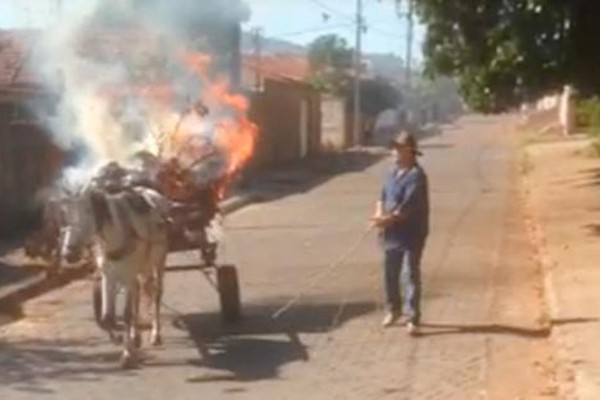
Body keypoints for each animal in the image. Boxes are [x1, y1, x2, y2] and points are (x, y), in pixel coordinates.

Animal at [62, 182, 169, 368]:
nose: (68, 253)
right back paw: (135, 336)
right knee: (140, 293)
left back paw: (155, 334)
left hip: (158, 260)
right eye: (66, 214)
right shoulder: (108, 276)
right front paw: (120, 339)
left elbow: (126, 314)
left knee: (156, 294)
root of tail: (153, 193)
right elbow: (107, 317)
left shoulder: (127, 275)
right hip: (141, 268)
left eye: (88, 211)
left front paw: (127, 354)